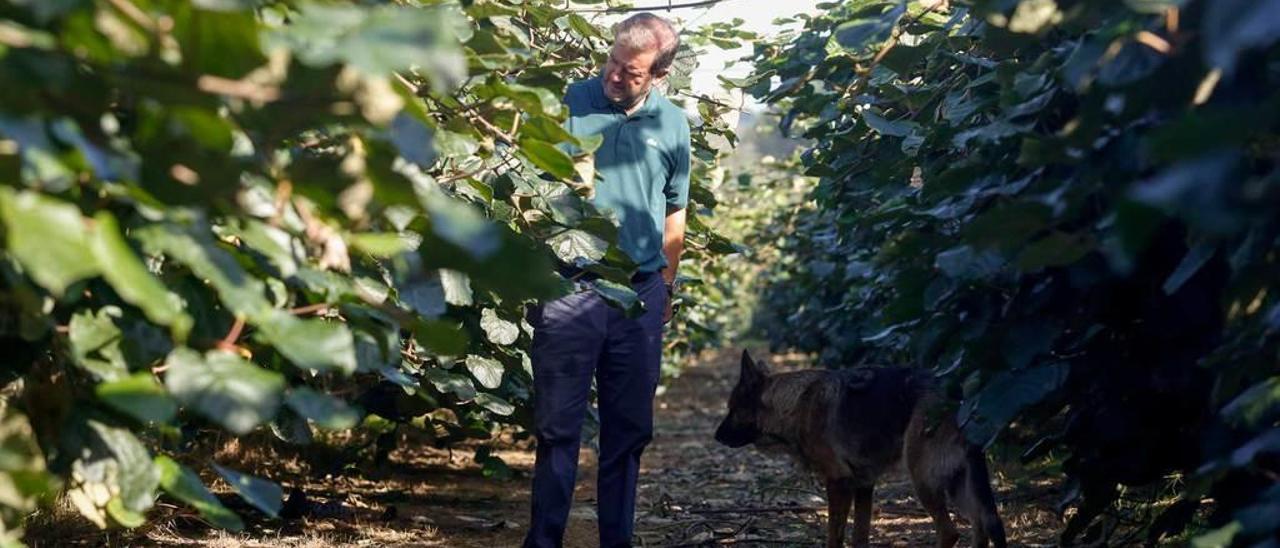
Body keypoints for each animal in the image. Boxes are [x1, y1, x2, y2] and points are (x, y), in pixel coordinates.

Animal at [716, 350, 1003, 548]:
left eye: (732, 409)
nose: (716, 437)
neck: (793, 404)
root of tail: (961, 397)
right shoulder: (864, 485)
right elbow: (860, 536)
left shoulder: (838, 482)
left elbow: (835, 536)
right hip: (957, 484)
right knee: (984, 525)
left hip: (923, 478)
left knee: (950, 532)